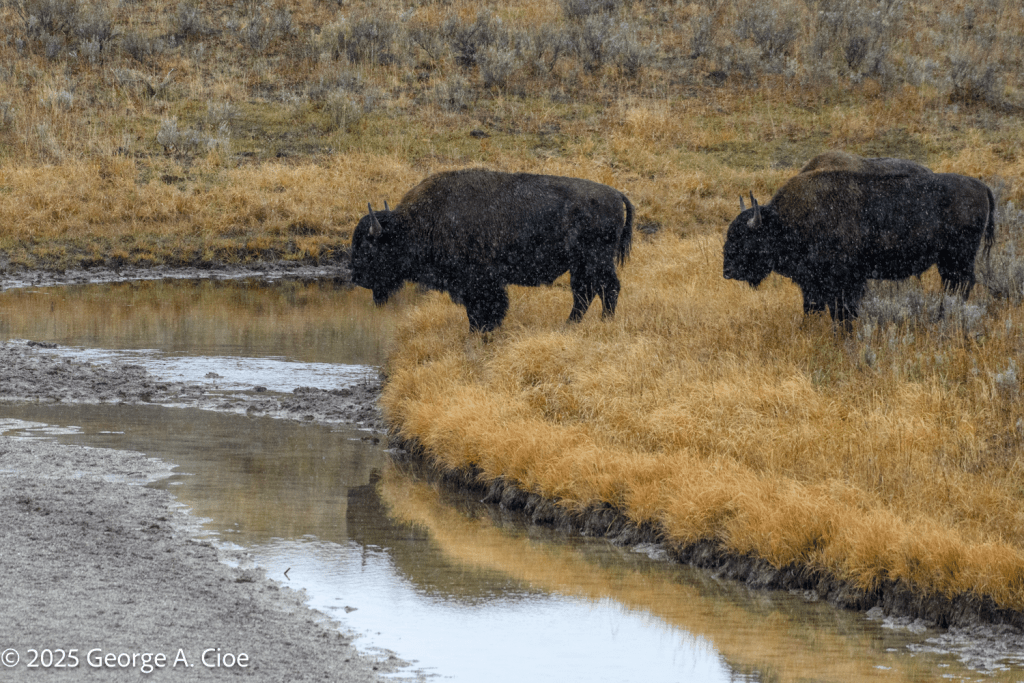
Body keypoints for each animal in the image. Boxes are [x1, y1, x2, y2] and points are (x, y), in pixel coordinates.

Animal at [351, 169, 634, 332]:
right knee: (587, 292)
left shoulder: (479, 282)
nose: (356, 277)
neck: (415, 225)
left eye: (368, 247)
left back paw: (601, 322)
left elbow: (485, 309)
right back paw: (573, 325)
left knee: (605, 288)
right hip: (582, 265)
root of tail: (616, 194)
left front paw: (482, 332)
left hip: (596, 260)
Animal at [723, 170, 996, 321]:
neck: (785, 223)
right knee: (953, 285)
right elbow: (813, 308)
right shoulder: (813, 284)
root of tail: (982, 186)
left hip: (958, 257)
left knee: (961, 284)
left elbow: (842, 312)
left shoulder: (846, 282)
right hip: (948, 261)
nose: (727, 271)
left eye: (747, 238)